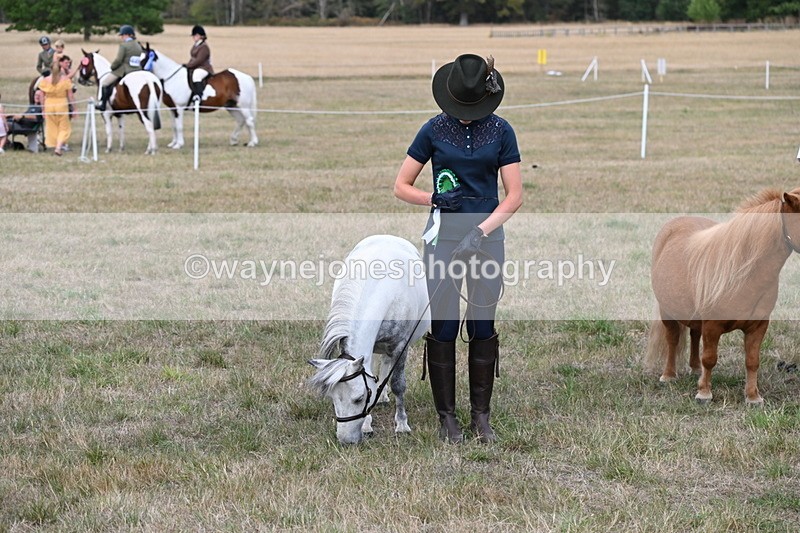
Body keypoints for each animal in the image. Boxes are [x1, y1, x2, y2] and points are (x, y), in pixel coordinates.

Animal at [308, 235, 430, 445]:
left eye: (359, 398)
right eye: (332, 398)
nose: (346, 441)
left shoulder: (400, 346)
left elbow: (398, 384)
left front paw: (402, 425)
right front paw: (366, 426)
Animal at [645, 188, 800, 405]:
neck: (742, 273)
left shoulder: (758, 326)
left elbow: (752, 361)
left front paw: (753, 397)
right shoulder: (712, 325)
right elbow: (710, 358)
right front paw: (704, 393)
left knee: (694, 335)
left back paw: (695, 369)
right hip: (668, 312)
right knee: (672, 340)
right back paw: (668, 375)